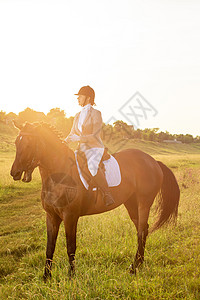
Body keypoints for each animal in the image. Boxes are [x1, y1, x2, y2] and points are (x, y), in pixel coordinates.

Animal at [10, 122, 180, 278]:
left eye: (29, 144)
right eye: (16, 143)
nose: (14, 173)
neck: (59, 175)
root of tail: (153, 161)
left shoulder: (70, 217)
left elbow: (70, 247)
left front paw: (71, 277)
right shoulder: (51, 216)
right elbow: (49, 247)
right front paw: (46, 277)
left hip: (144, 202)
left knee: (141, 231)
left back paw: (135, 267)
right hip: (131, 203)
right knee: (143, 229)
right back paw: (137, 264)